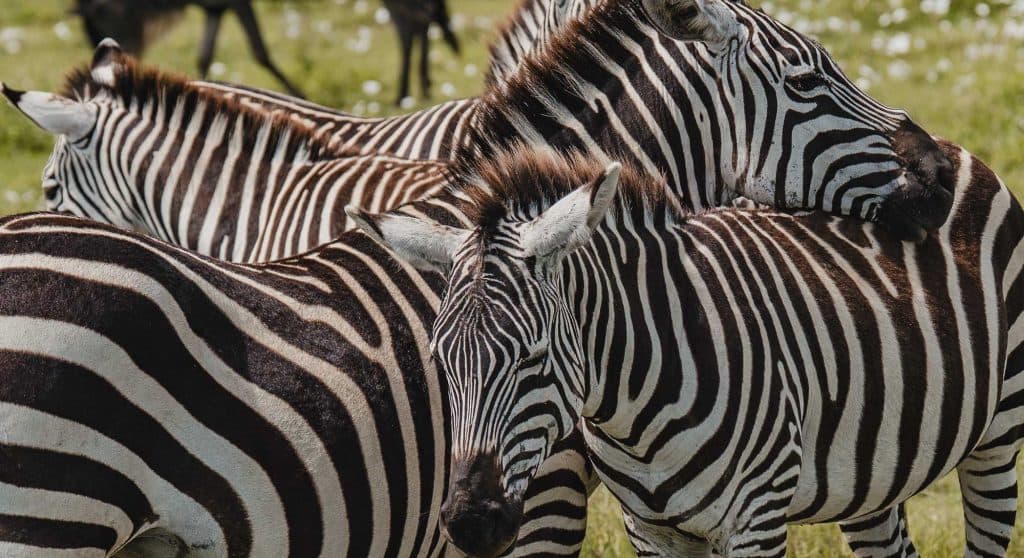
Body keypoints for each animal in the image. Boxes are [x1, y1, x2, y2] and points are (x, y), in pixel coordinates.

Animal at [71, 0, 305, 98]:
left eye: (101, 20)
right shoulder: (214, 9)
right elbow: (204, 57)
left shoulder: (238, 2)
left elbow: (260, 53)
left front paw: (299, 94)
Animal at [352, 143, 1024, 558]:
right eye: (441, 361)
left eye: (532, 359)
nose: (470, 523)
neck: (635, 414)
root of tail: (952, 154)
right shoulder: (651, 529)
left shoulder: (757, 516)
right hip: (870, 474)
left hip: (999, 434)